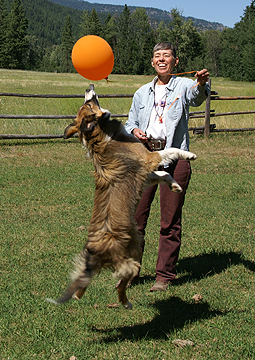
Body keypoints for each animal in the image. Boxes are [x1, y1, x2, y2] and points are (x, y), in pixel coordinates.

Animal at [47, 85, 195, 310]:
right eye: (88, 104)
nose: (88, 87)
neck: (101, 135)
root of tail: (99, 251)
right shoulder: (149, 158)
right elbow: (170, 150)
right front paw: (189, 155)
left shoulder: (145, 173)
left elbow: (164, 174)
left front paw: (175, 186)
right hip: (132, 258)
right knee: (121, 285)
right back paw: (126, 304)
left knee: (83, 282)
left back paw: (79, 296)